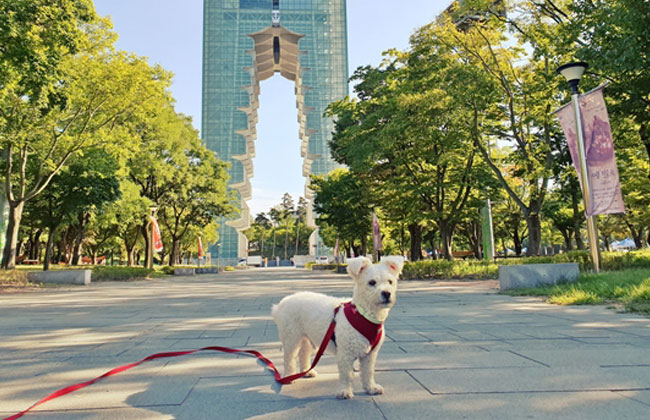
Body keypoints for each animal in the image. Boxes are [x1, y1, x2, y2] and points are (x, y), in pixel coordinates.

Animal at [270, 254, 402, 398]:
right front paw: (345, 391)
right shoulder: (345, 353)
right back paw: (289, 376)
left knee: (303, 353)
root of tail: (283, 303)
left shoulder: (369, 355)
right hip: (291, 336)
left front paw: (371, 388)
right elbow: (347, 375)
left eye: (390, 282)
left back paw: (307, 372)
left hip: (308, 338)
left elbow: (368, 372)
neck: (364, 314)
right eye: (371, 282)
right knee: (289, 356)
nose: (387, 293)